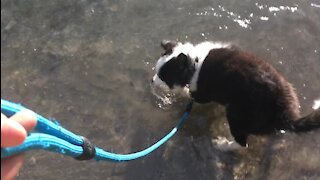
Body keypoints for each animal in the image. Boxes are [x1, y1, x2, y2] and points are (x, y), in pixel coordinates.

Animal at [152, 40, 320, 146]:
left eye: (163, 76)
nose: (152, 81)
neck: (194, 62)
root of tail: (285, 113)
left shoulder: (203, 93)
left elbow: (190, 93)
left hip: (236, 114)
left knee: (241, 143)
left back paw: (222, 144)